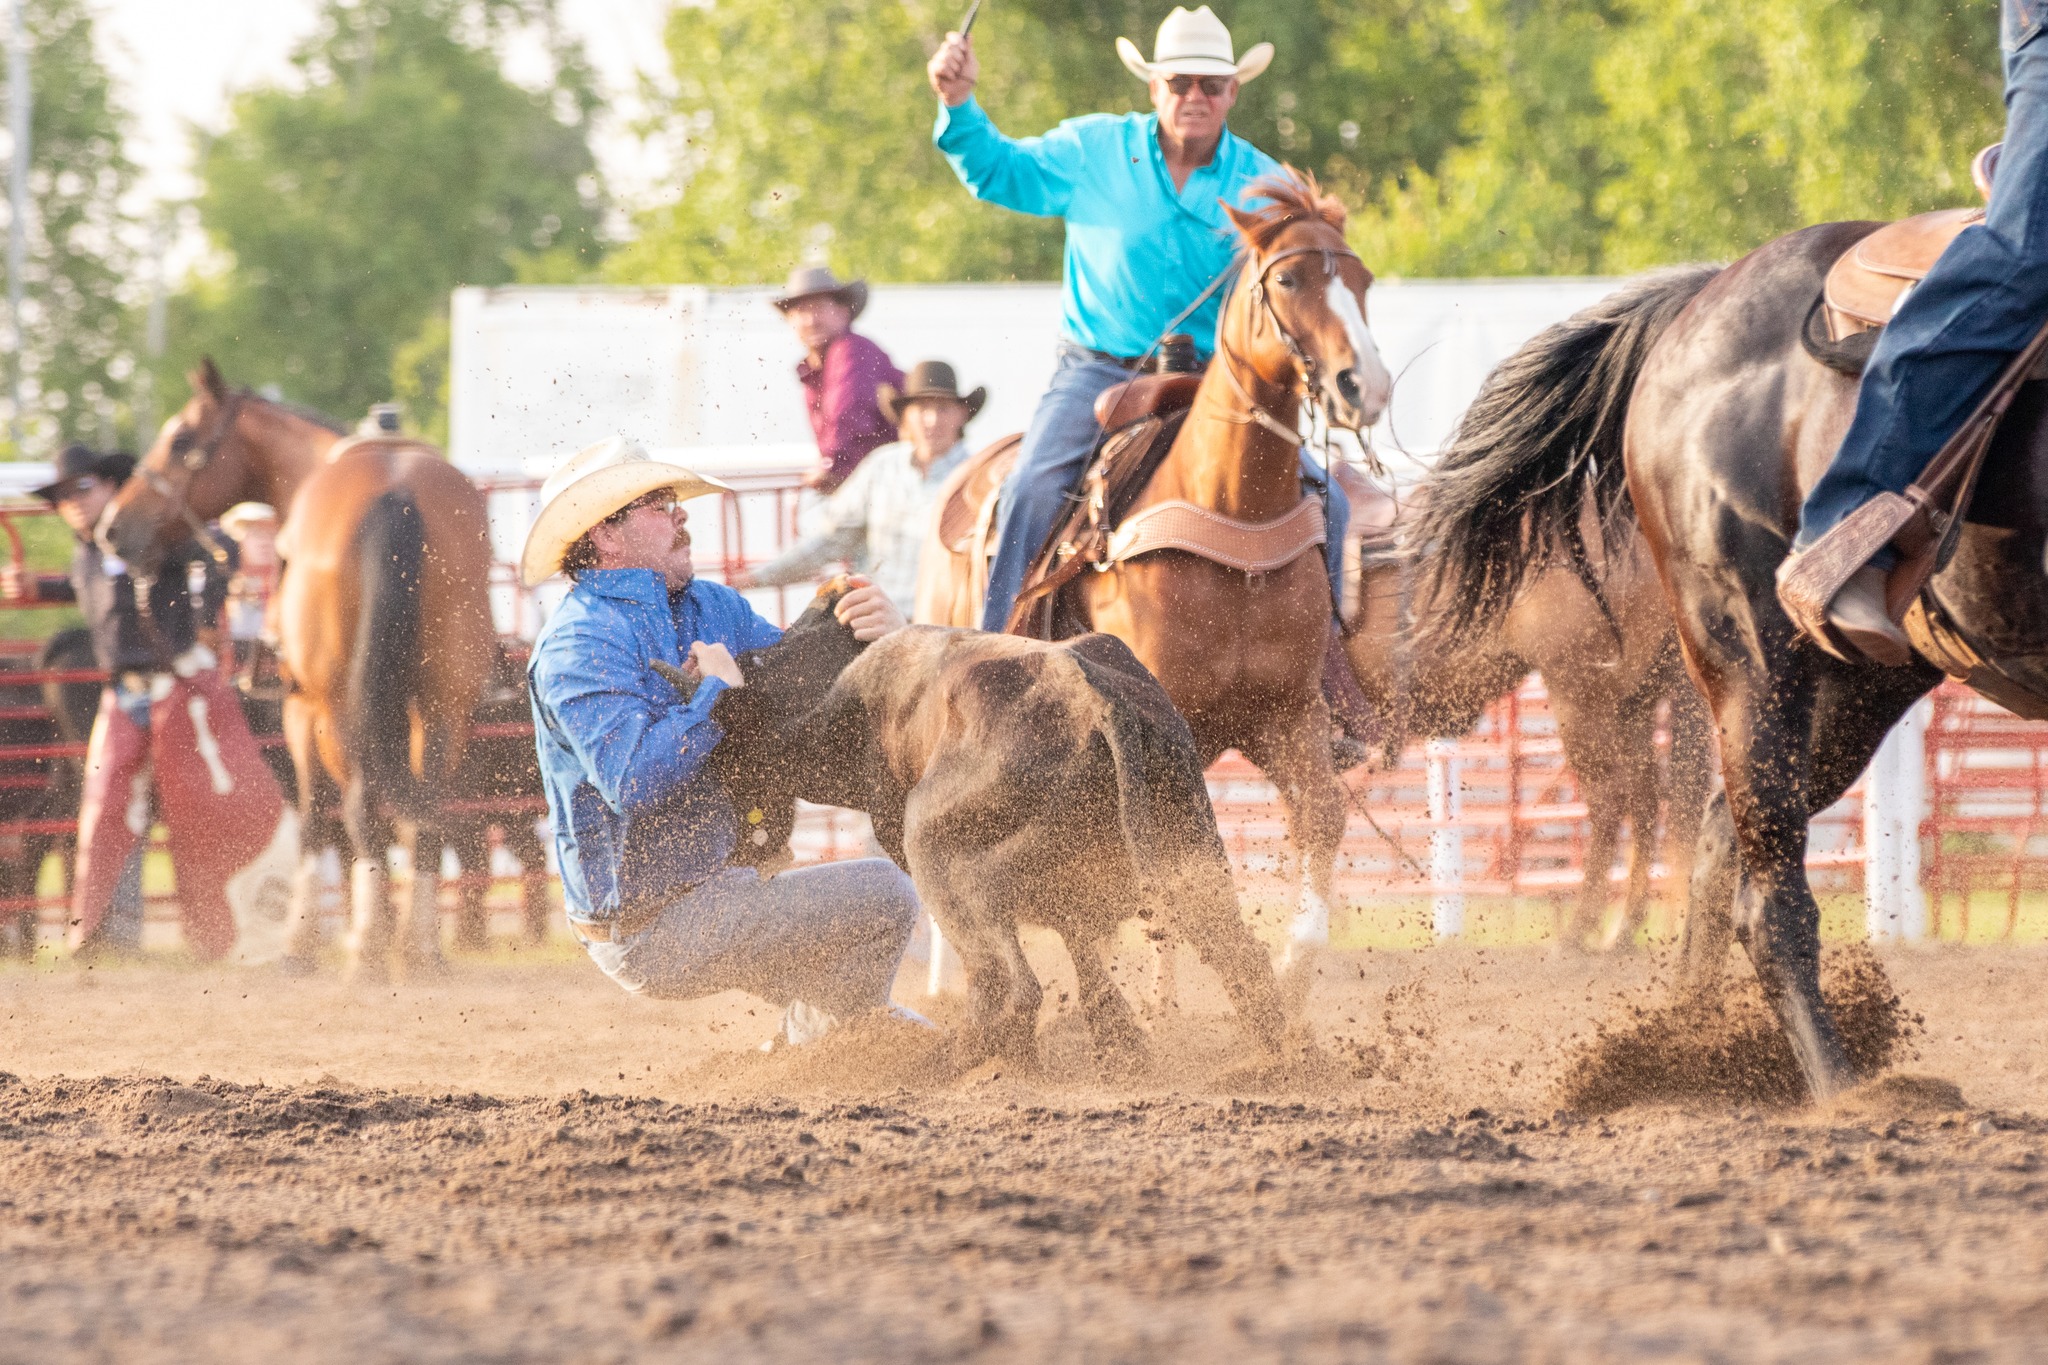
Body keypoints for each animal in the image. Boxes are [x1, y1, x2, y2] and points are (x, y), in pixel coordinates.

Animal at [664, 582, 1291, 1073]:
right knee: (1242, 957)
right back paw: (1280, 1061)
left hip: (942, 862)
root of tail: (1088, 697)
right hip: (1191, 854)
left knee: (1010, 986)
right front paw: (1121, 1046)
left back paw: (952, 1063)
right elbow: (1086, 956)